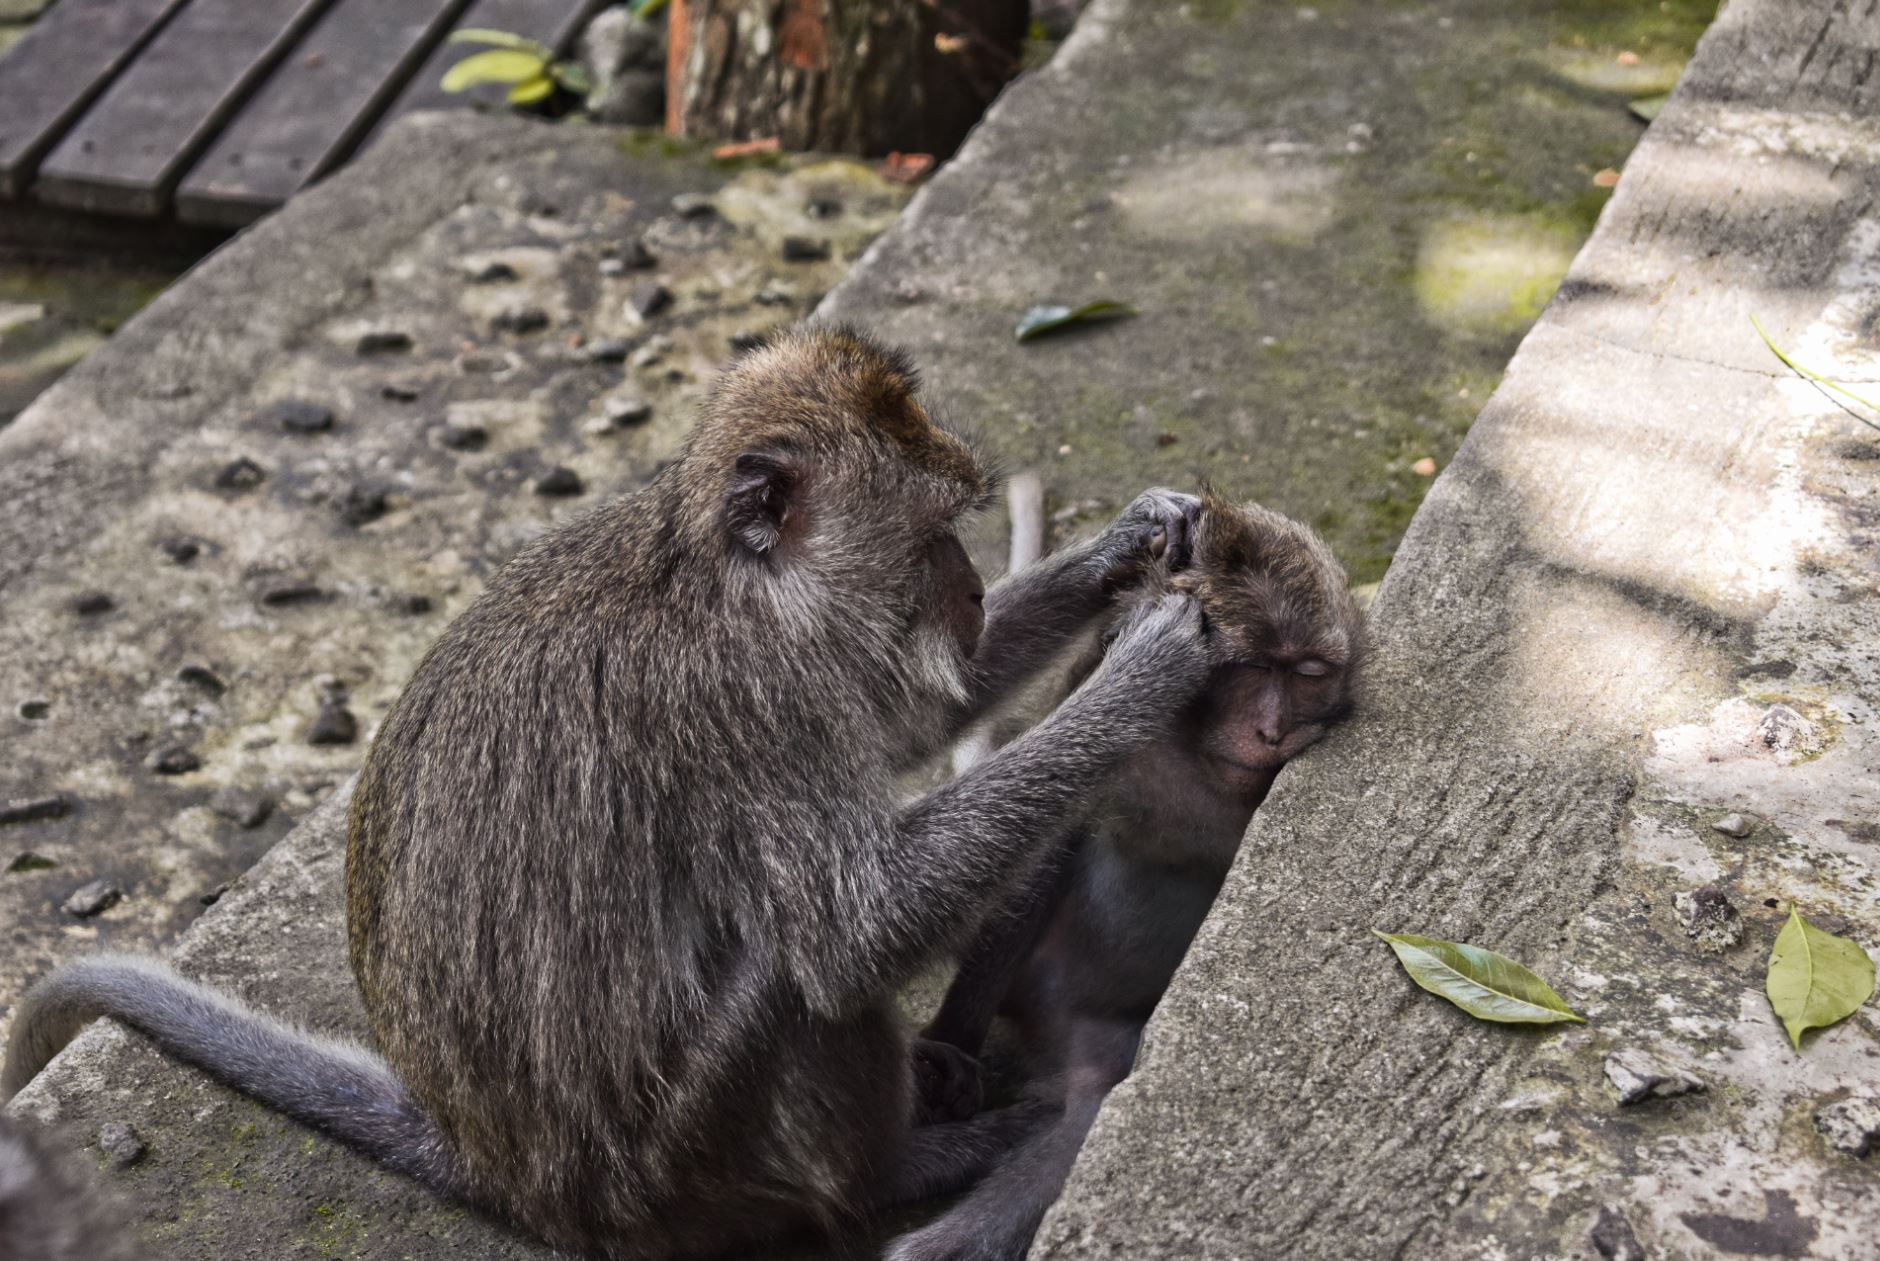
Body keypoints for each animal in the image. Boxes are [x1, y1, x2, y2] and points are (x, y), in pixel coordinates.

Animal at [3, 326, 1218, 1260]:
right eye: (931, 534)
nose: (968, 590)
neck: (725, 580)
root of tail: (503, 1172)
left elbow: (925, 713)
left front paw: (1131, 540)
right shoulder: (741, 707)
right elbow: (852, 933)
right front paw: (1147, 665)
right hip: (678, 1169)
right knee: (788, 973)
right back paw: (902, 1167)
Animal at [886, 490, 1366, 1261]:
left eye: (1308, 672)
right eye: (1247, 668)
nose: (1271, 731)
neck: (1196, 755)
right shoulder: (1100, 706)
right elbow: (1045, 837)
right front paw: (951, 1043)